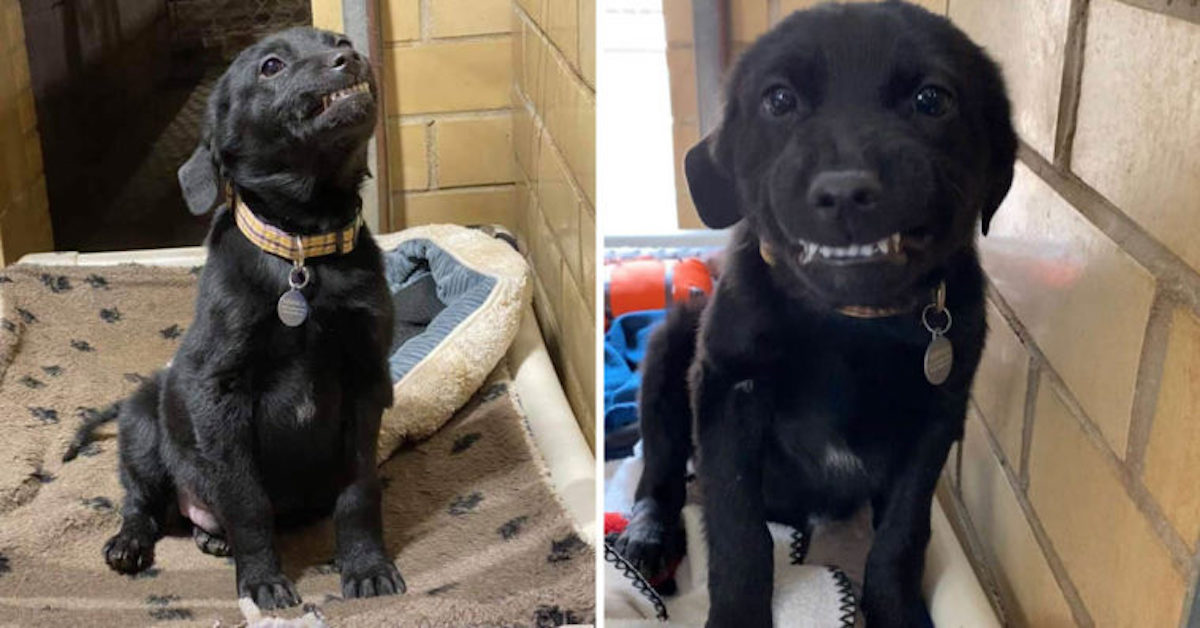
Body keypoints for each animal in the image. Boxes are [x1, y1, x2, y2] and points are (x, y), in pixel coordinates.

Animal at [66, 27, 403, 612]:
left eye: (337, 40)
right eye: (271, 66)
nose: (350, 56)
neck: (302, 250)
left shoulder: (366, 382)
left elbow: (359, 491)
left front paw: (366, 568)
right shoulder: (220, 394)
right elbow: (247, 503)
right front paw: (264, 583)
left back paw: (211, 537)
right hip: (142, 423)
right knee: (140, 503)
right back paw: (130, 544)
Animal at [614, 4, 1017, 628]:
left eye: (932, 100)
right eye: (779, 100)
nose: (845, 192)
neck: (851, 320)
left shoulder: (935, 418)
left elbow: (902, 534)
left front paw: (895, 612)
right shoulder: (727, 392)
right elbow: (738, 530)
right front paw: (737, 615)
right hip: (670, 345)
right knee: (659, 471)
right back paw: (649, 536)